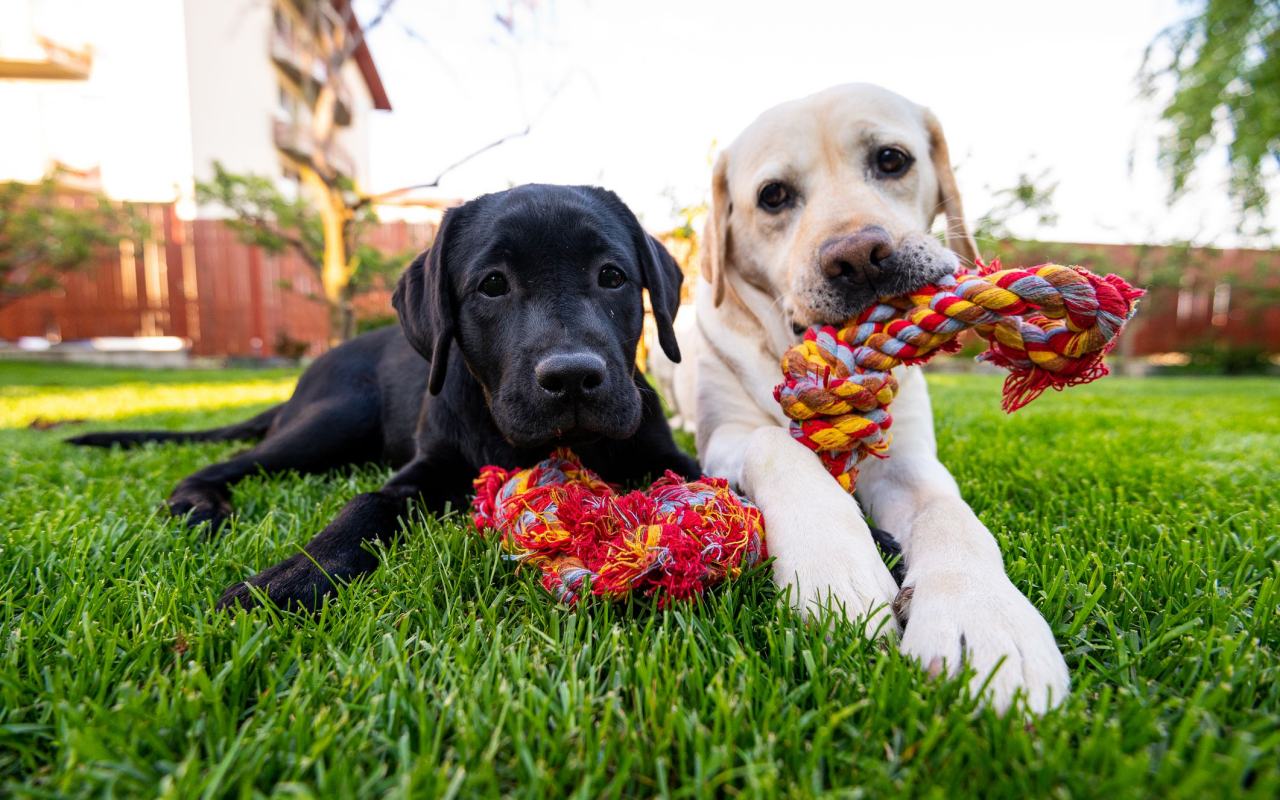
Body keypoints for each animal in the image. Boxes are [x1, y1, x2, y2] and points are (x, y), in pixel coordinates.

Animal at [70, 185, 701, 611]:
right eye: (492, 284)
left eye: (612, 276)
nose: (572, 376)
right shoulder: (426, 467)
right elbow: (367, 503)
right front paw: (291, 578)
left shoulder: (665, 453)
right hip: (335, 419)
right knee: (228, 462)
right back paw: (199, 505)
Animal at [680, 85, 1070, 711]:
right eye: (773, 196)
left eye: (891, 159)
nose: (859, 256)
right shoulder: (723, 437)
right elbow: (775, 444)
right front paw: (836, 572)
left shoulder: (907, 460)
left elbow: (950, 515)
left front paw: (985, 618)